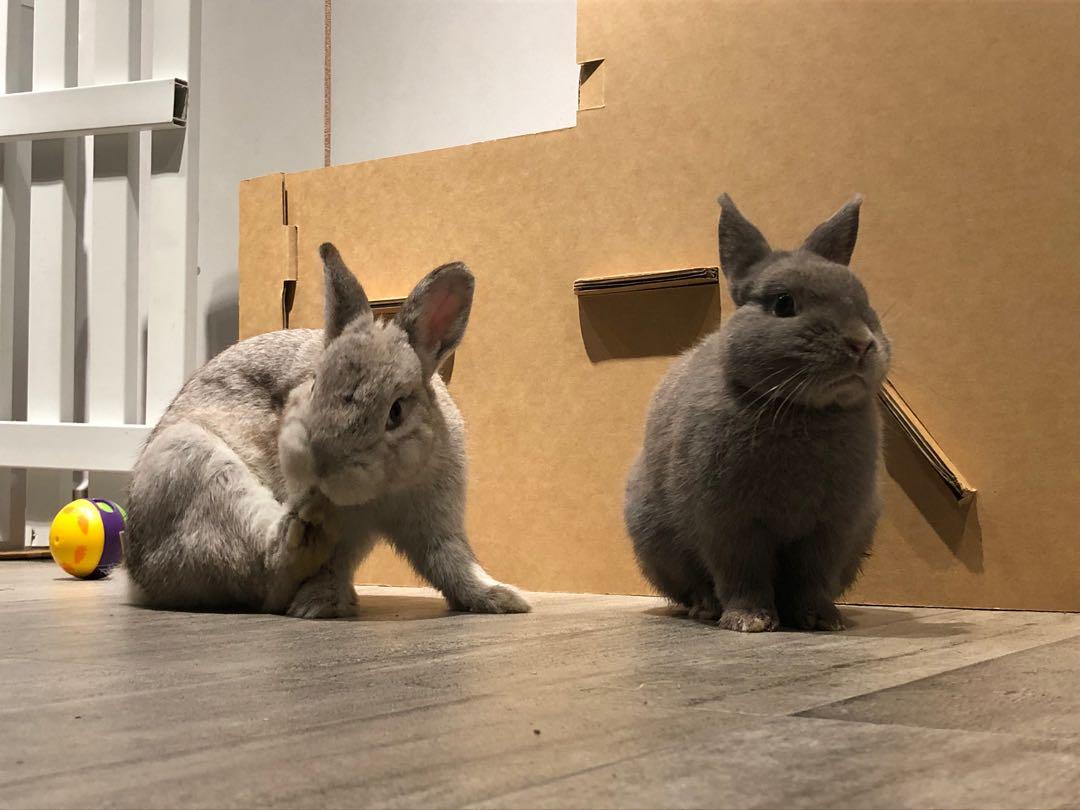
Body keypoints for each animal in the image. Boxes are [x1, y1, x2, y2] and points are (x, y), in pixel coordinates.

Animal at [124, 243, 531, 619]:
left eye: (396, 412)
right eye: (315, 384)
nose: (320, 466)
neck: (384, 489)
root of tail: (136, 578)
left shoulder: (435, 520)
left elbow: (451, 562)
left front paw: (503, 599)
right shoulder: (346, 536)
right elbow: (331, 566)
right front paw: (317, 604)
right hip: (191, 462)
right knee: (268, 575)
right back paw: (302, 538)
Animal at [624, 194, 890, 632]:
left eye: (865, 302)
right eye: (784, 304)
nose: (861, 344)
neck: (801, 409)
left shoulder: (831, 529)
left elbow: (812, 578)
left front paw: (822, 619)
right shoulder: (731, 525)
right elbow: (741, 574)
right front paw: (750, 622)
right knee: (696, 586)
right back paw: (705, 609)